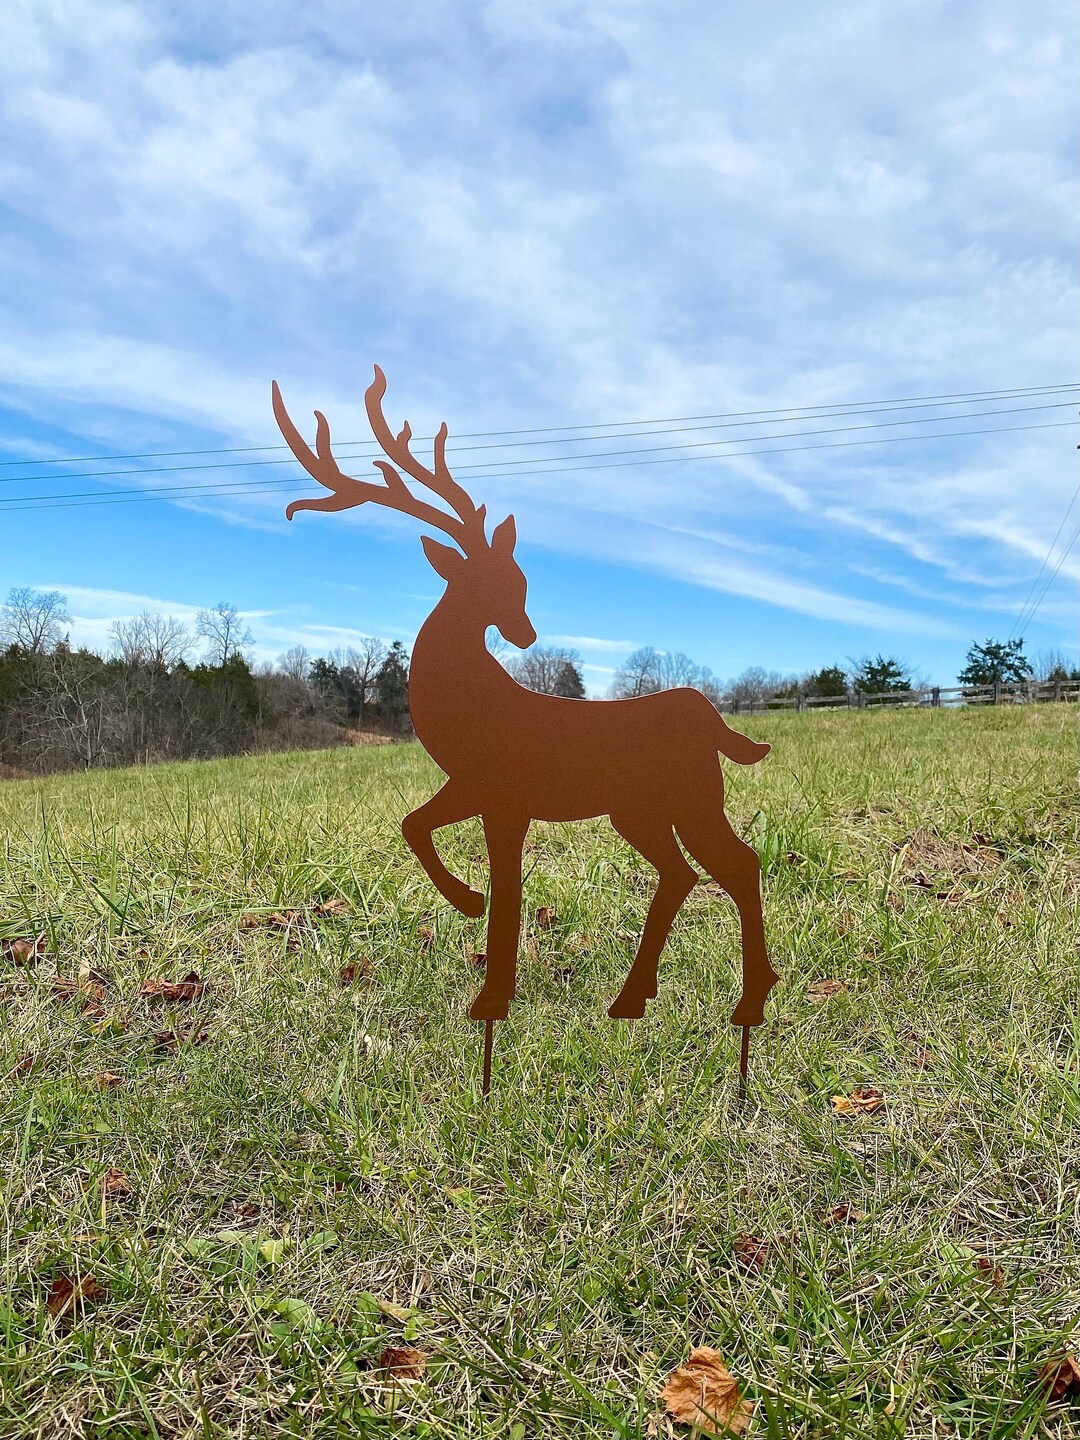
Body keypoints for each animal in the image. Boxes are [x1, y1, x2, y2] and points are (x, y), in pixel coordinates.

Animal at [272, 367, 779, 1082]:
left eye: (521, 577)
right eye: (497, 581)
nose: (527, 632)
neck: (471, 707)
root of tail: (710, 717)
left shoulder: (504, 796)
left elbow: (506, 890)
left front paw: (489, 991)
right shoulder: (474, 785)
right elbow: (413, 824)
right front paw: (468, 906)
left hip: (689, 796)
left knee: (739, 864)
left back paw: (745, 1003)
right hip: (642, 810)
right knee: (687, 873)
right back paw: (635, 998)